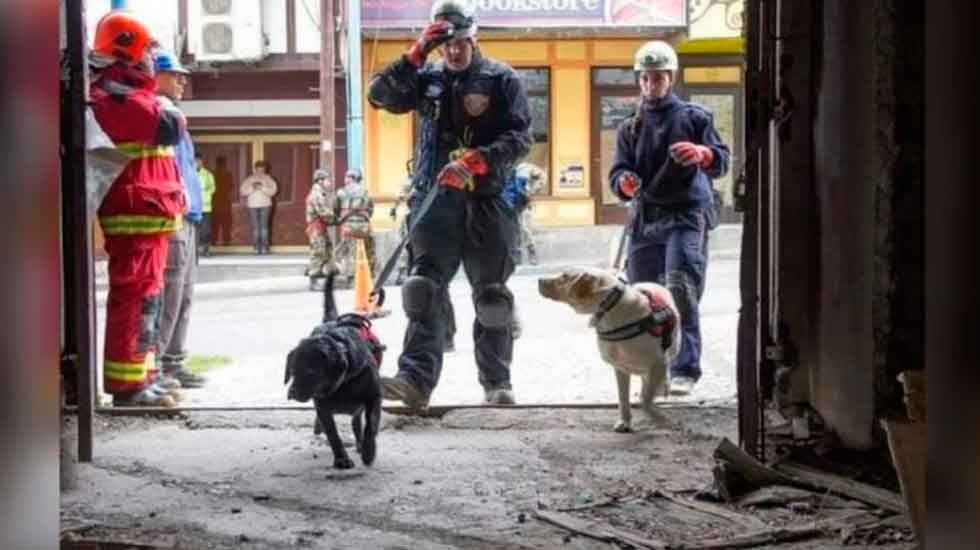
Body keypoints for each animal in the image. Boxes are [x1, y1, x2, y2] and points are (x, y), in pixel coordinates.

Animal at [284, 272, 382, 470]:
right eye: (292, 370)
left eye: (311, 371)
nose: (292, 393)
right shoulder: (322, 406)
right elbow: (333, 434)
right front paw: (341, 459)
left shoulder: (374, 398)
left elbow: (371, 425)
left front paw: (368, 451)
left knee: (357, 421)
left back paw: (360, 444)